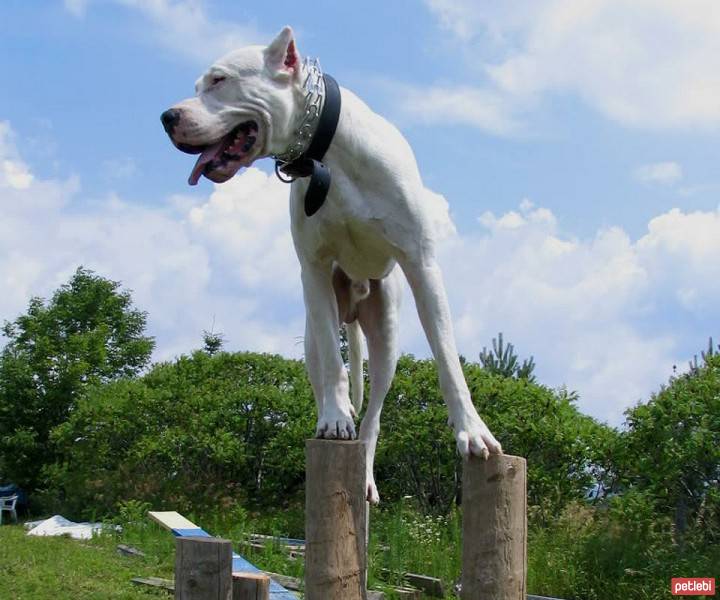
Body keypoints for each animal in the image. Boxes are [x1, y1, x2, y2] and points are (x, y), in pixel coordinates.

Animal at [162, 27, 500, 502]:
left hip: (386, 336)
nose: (167, 116)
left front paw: (472, 430)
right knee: (323, 363)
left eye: (218, 80)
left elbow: (448, 361)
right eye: (197, 86)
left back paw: (367, 478)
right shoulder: (315, 270)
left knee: (374, 417)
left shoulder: (422, 265)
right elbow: (333, 366)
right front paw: (336, 417)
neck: (326, 155)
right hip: (311, 330)